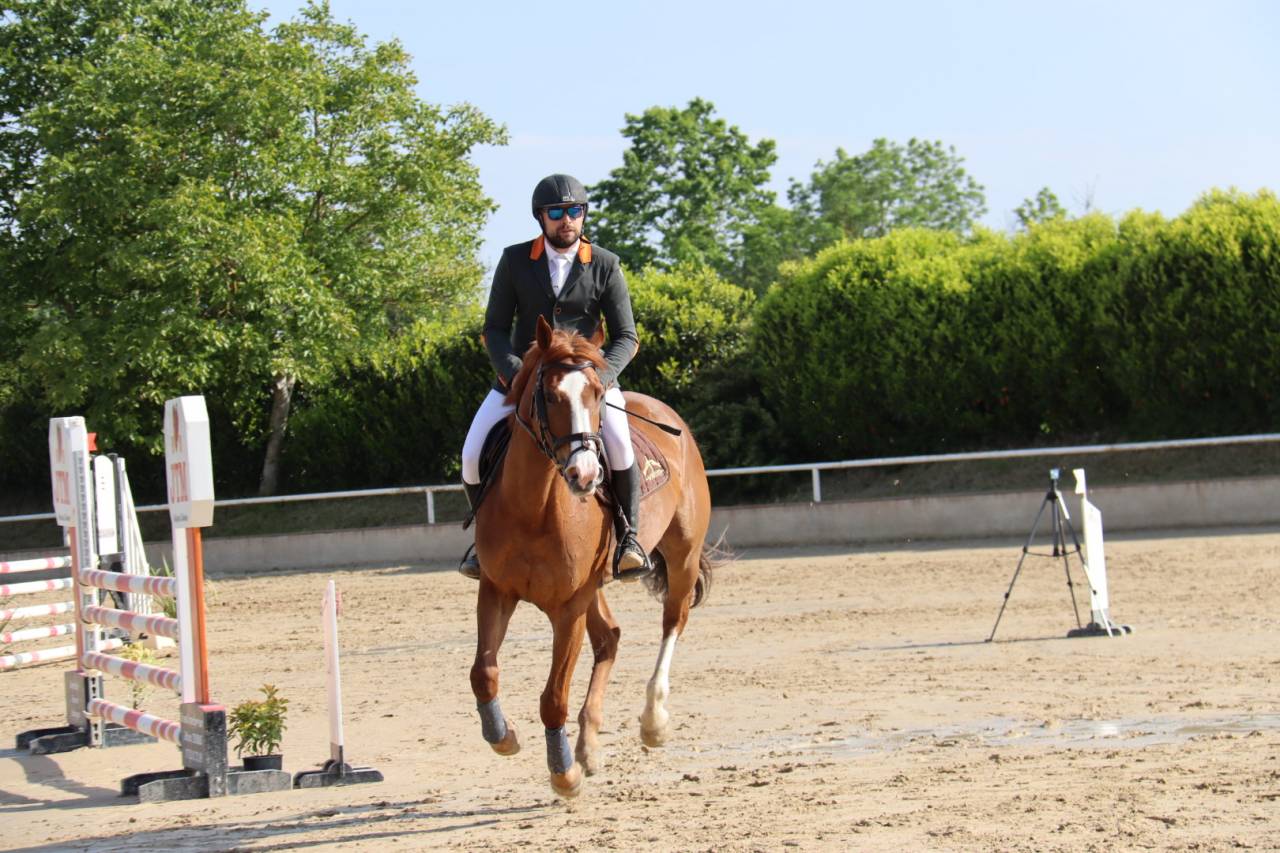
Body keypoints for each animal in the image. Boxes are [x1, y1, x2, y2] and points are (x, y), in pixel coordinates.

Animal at [470, 315, 717, 797]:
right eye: (549, 395)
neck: (533, 508)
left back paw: (652, 722)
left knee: (672, 622)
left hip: (681, 556)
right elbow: (483, 674)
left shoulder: (569, 606)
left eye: (597, 395)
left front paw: (563, 774)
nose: (584, 476)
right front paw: (504, 736)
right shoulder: (496, 589)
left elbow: (553, 696)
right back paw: (588, 746)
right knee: (610, 638)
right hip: (595, 587)